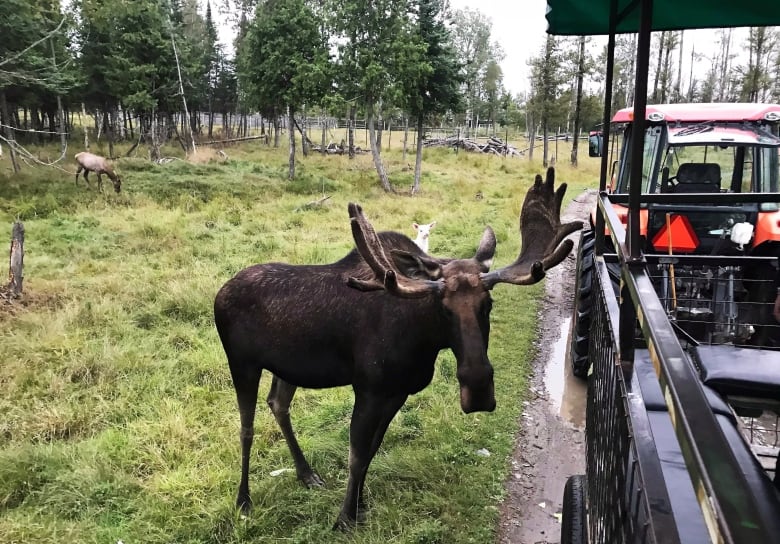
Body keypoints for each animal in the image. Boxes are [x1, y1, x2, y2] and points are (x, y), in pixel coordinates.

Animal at [212, 168, 580, 528]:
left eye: (487, 304)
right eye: (443, 308)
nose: (477, 389)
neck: (421, 342)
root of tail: (220, 292)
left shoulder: (398, 392)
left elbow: (372, 452)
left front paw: (360, 505)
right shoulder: (369, 389)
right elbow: (357, 454)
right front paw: (344, 518)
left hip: (287, 367)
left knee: (278, 403)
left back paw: (306, 474)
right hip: (241, 362)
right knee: (246, 428)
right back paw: (243, 500)